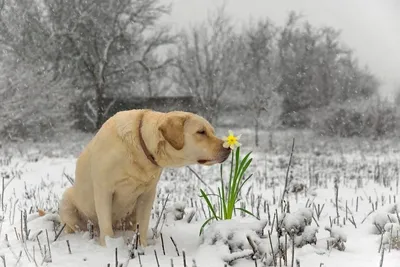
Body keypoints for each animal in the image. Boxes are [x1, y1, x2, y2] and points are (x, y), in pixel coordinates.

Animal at [57, 109, 230, 247]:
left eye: (212, 131)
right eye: (201, 132)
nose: (227, 148)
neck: (140, 147)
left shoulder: (147, 194)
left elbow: (143, 224)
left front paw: (142, 247)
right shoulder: (103, 191)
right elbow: (106, 226)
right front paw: (109, 247)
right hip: (67, 201)